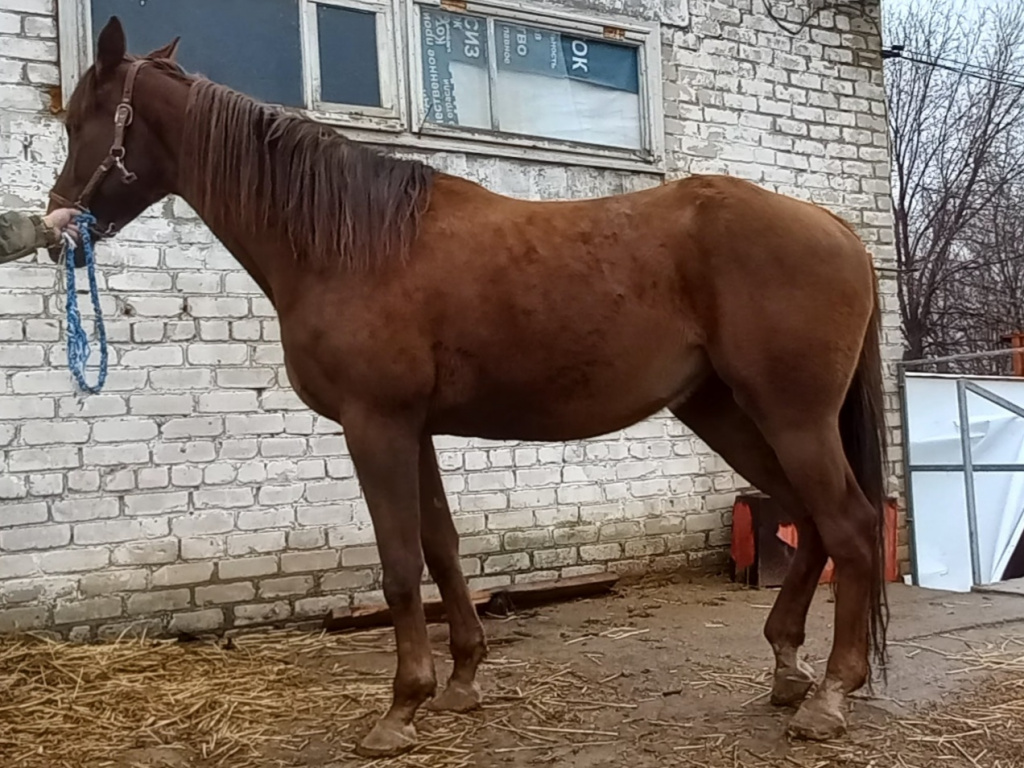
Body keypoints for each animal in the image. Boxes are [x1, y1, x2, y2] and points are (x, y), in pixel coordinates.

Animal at [49, 16, 888, 757]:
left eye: (83, 119)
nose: (59, 225)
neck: (349, 243)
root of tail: (835, 226)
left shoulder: (375, 424)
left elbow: (399, 565)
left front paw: (399, 710)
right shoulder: (413, 428)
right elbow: (443, 548)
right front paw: (459, 682)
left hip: (790, 414)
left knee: (848, 525)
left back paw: (829, 698)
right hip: (726, 411)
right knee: (810, 521)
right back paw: (787, 668)